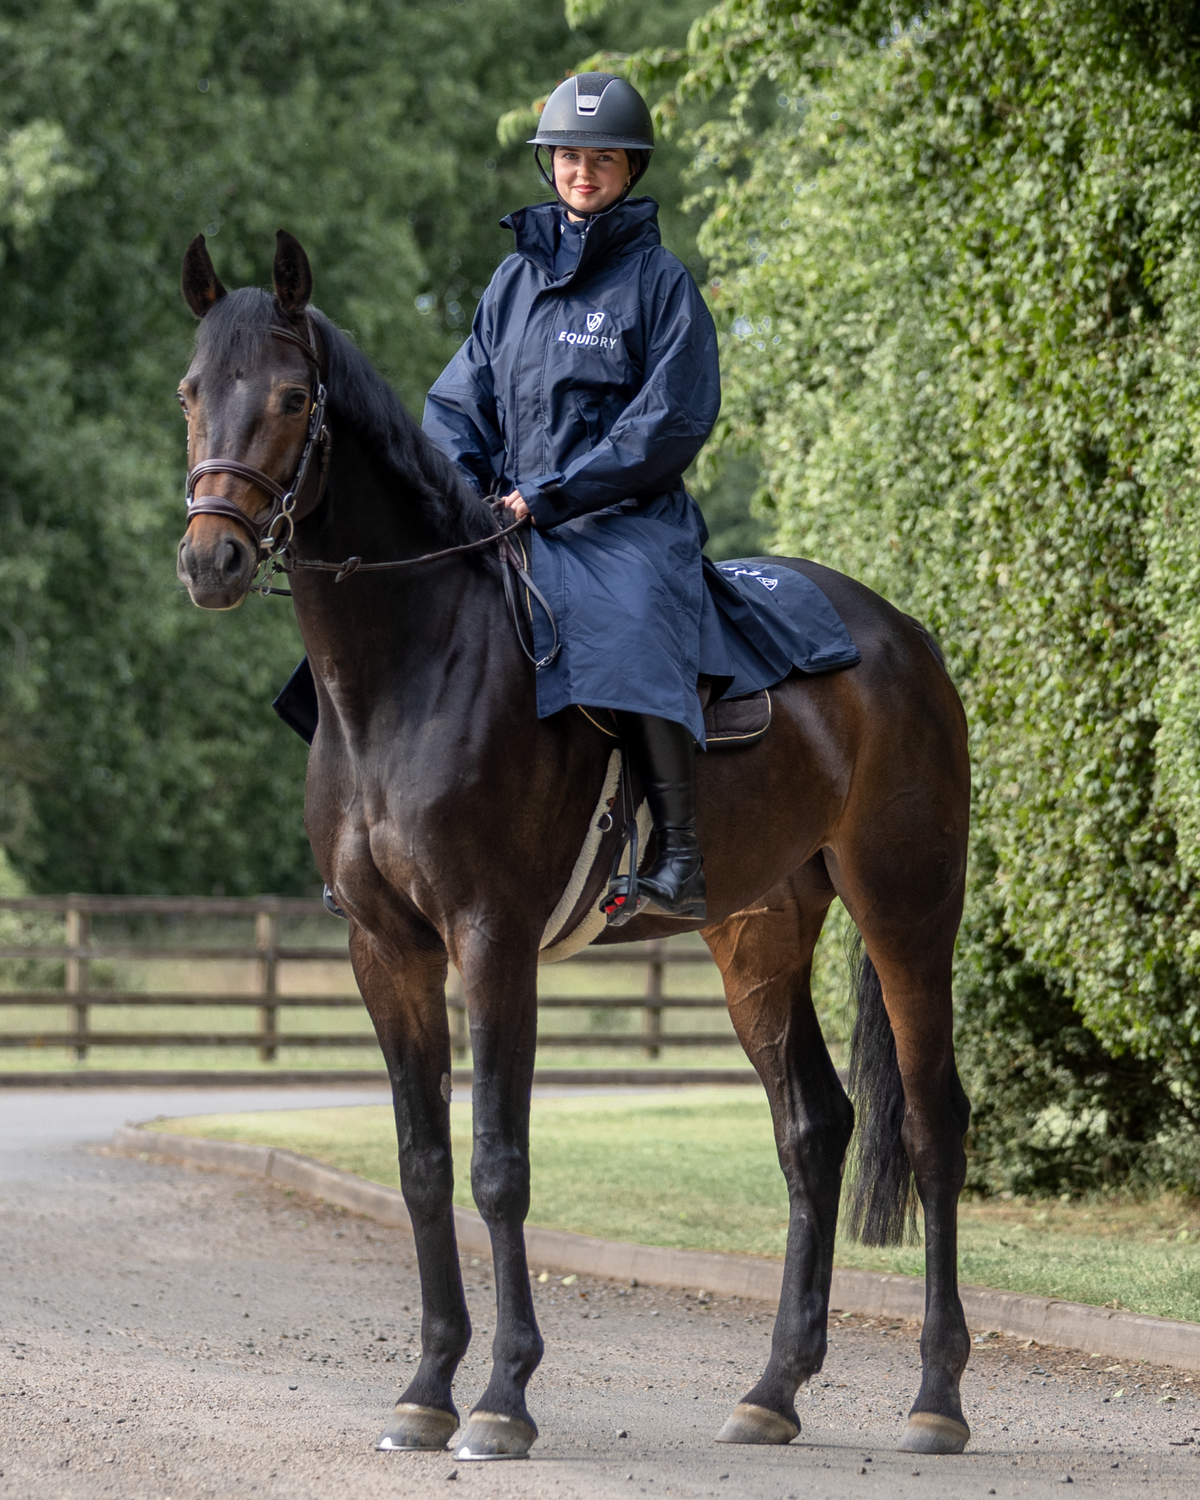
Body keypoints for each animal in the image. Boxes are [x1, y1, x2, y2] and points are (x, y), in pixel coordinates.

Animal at [175, 230, 973, 1460]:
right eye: (189, 393)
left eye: (294, 397)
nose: (209, 558)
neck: (413, 668)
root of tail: (904, 639)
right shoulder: (385, 952)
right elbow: (422, 1165)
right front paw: (427, 1386)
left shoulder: (492, 940)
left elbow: (499, 1168)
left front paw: (502, 1398)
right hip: (757, 939)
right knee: (813, 1129)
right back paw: (774, 1388)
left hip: (907, 914)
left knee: (934, 1127)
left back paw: (936, 1397)